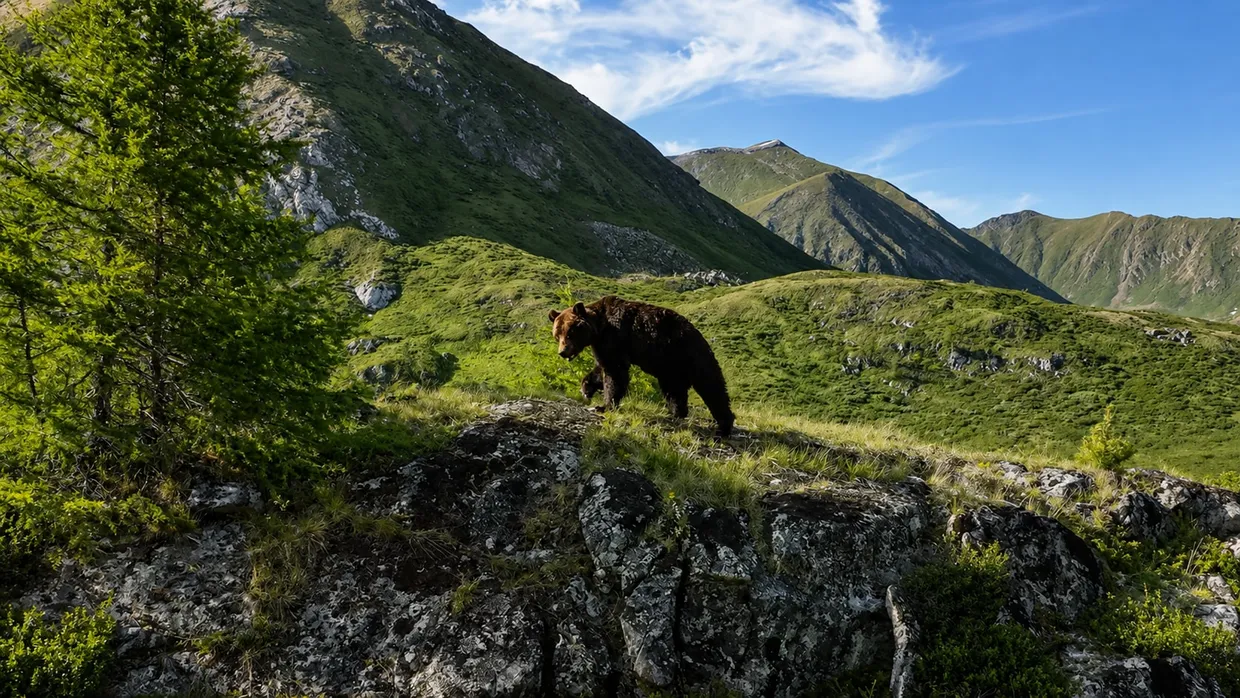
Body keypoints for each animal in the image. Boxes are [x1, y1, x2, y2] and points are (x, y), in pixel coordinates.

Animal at [548, 295, 735, 438]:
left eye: (570, 333)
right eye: (557, 335)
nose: (562, 352)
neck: (599, 327)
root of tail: (699, 335)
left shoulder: (615, 337)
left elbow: (615, 371)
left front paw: (604, 405)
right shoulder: (603, 345)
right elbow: (602, 368)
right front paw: (587, 388)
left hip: (691, 356)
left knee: (711, 386)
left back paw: (724, 427)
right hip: (671, 367)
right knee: (674, 390)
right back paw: (676, 413)